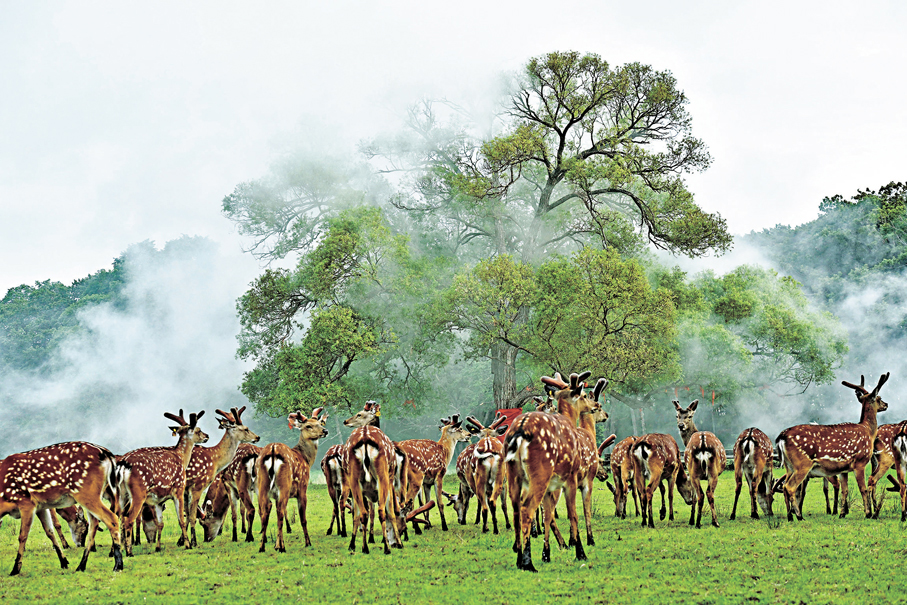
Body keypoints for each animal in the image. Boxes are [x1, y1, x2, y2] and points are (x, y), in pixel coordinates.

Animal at [0, 441, 125, 575]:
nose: (79, 543)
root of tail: (107, 454)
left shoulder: (26, 502)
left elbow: (22, 536)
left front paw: (15, 569)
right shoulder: (40, 506)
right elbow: (49, 531)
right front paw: (64, 562)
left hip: (87, 493)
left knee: (111, 518)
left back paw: (118, 565)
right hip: (95, 494)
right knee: (95, 523)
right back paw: (81, 565)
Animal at [116, 410, 208, 556]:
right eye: (198, 429)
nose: (207, 436)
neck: (182, 459)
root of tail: (123, 465)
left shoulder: (158, 500)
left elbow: (160, 523)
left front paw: (158, 547)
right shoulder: (179, 489)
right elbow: (181, 519)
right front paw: (188, 545)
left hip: (121, 493)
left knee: (118, 517)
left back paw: (119, 549)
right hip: (138, 493)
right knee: (128, 519)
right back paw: (129, 551)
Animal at [256, 408, 328, 553]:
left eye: (320, 423)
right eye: (308, 426)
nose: (325, 431)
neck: (306, 459)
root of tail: (273, 450)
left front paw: (275, 544)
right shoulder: (302, 488)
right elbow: (303, 519)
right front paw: (308, 542)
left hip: (262, 485)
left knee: (264, 511)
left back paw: (262, 547)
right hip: (284, 485)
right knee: (280, 511)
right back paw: (281, 547)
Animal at [503, 371, 605, 572]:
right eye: (584, 395)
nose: (596, 407)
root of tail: (520, 430)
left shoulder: (552, 486)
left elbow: (548, 514)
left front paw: (547, 554)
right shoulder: (574, 477)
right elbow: (576, 513)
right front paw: (581, 550)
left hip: (514, 474)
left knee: (517, 509)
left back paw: (519, 558)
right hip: (540, 472)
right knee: (527, 508)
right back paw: (528, 563)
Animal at [776, 372, 889, 521]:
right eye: (879, 398)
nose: (886, 404)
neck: (868, 431)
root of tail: (781, 437)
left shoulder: (843, 469)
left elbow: (844, 490)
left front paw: (842, 514)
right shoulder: (860, 462)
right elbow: (863, 489)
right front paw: (868, 513)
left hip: (788, 466)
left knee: (784, 486)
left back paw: (790, 516)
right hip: (802, 464)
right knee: (790, 487)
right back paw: (799, 516)